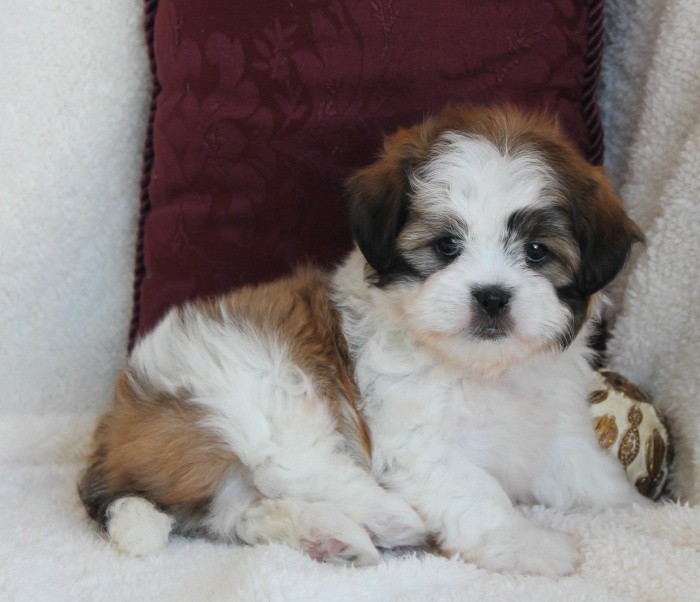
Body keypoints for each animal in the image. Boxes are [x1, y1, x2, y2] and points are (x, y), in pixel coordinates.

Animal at [78, 105, 644, 576]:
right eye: (446, 246)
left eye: (536, 251)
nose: (491, 296)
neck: (480, 369)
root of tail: (118, 420)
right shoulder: (414, 441)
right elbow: (476, 494)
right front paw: (529, 545)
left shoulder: (552, 429)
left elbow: (581, 468)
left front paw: (631, 506)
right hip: (260, 383)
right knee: (296, 465)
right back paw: (389, 516)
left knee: (236, 511)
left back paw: (327, 536)